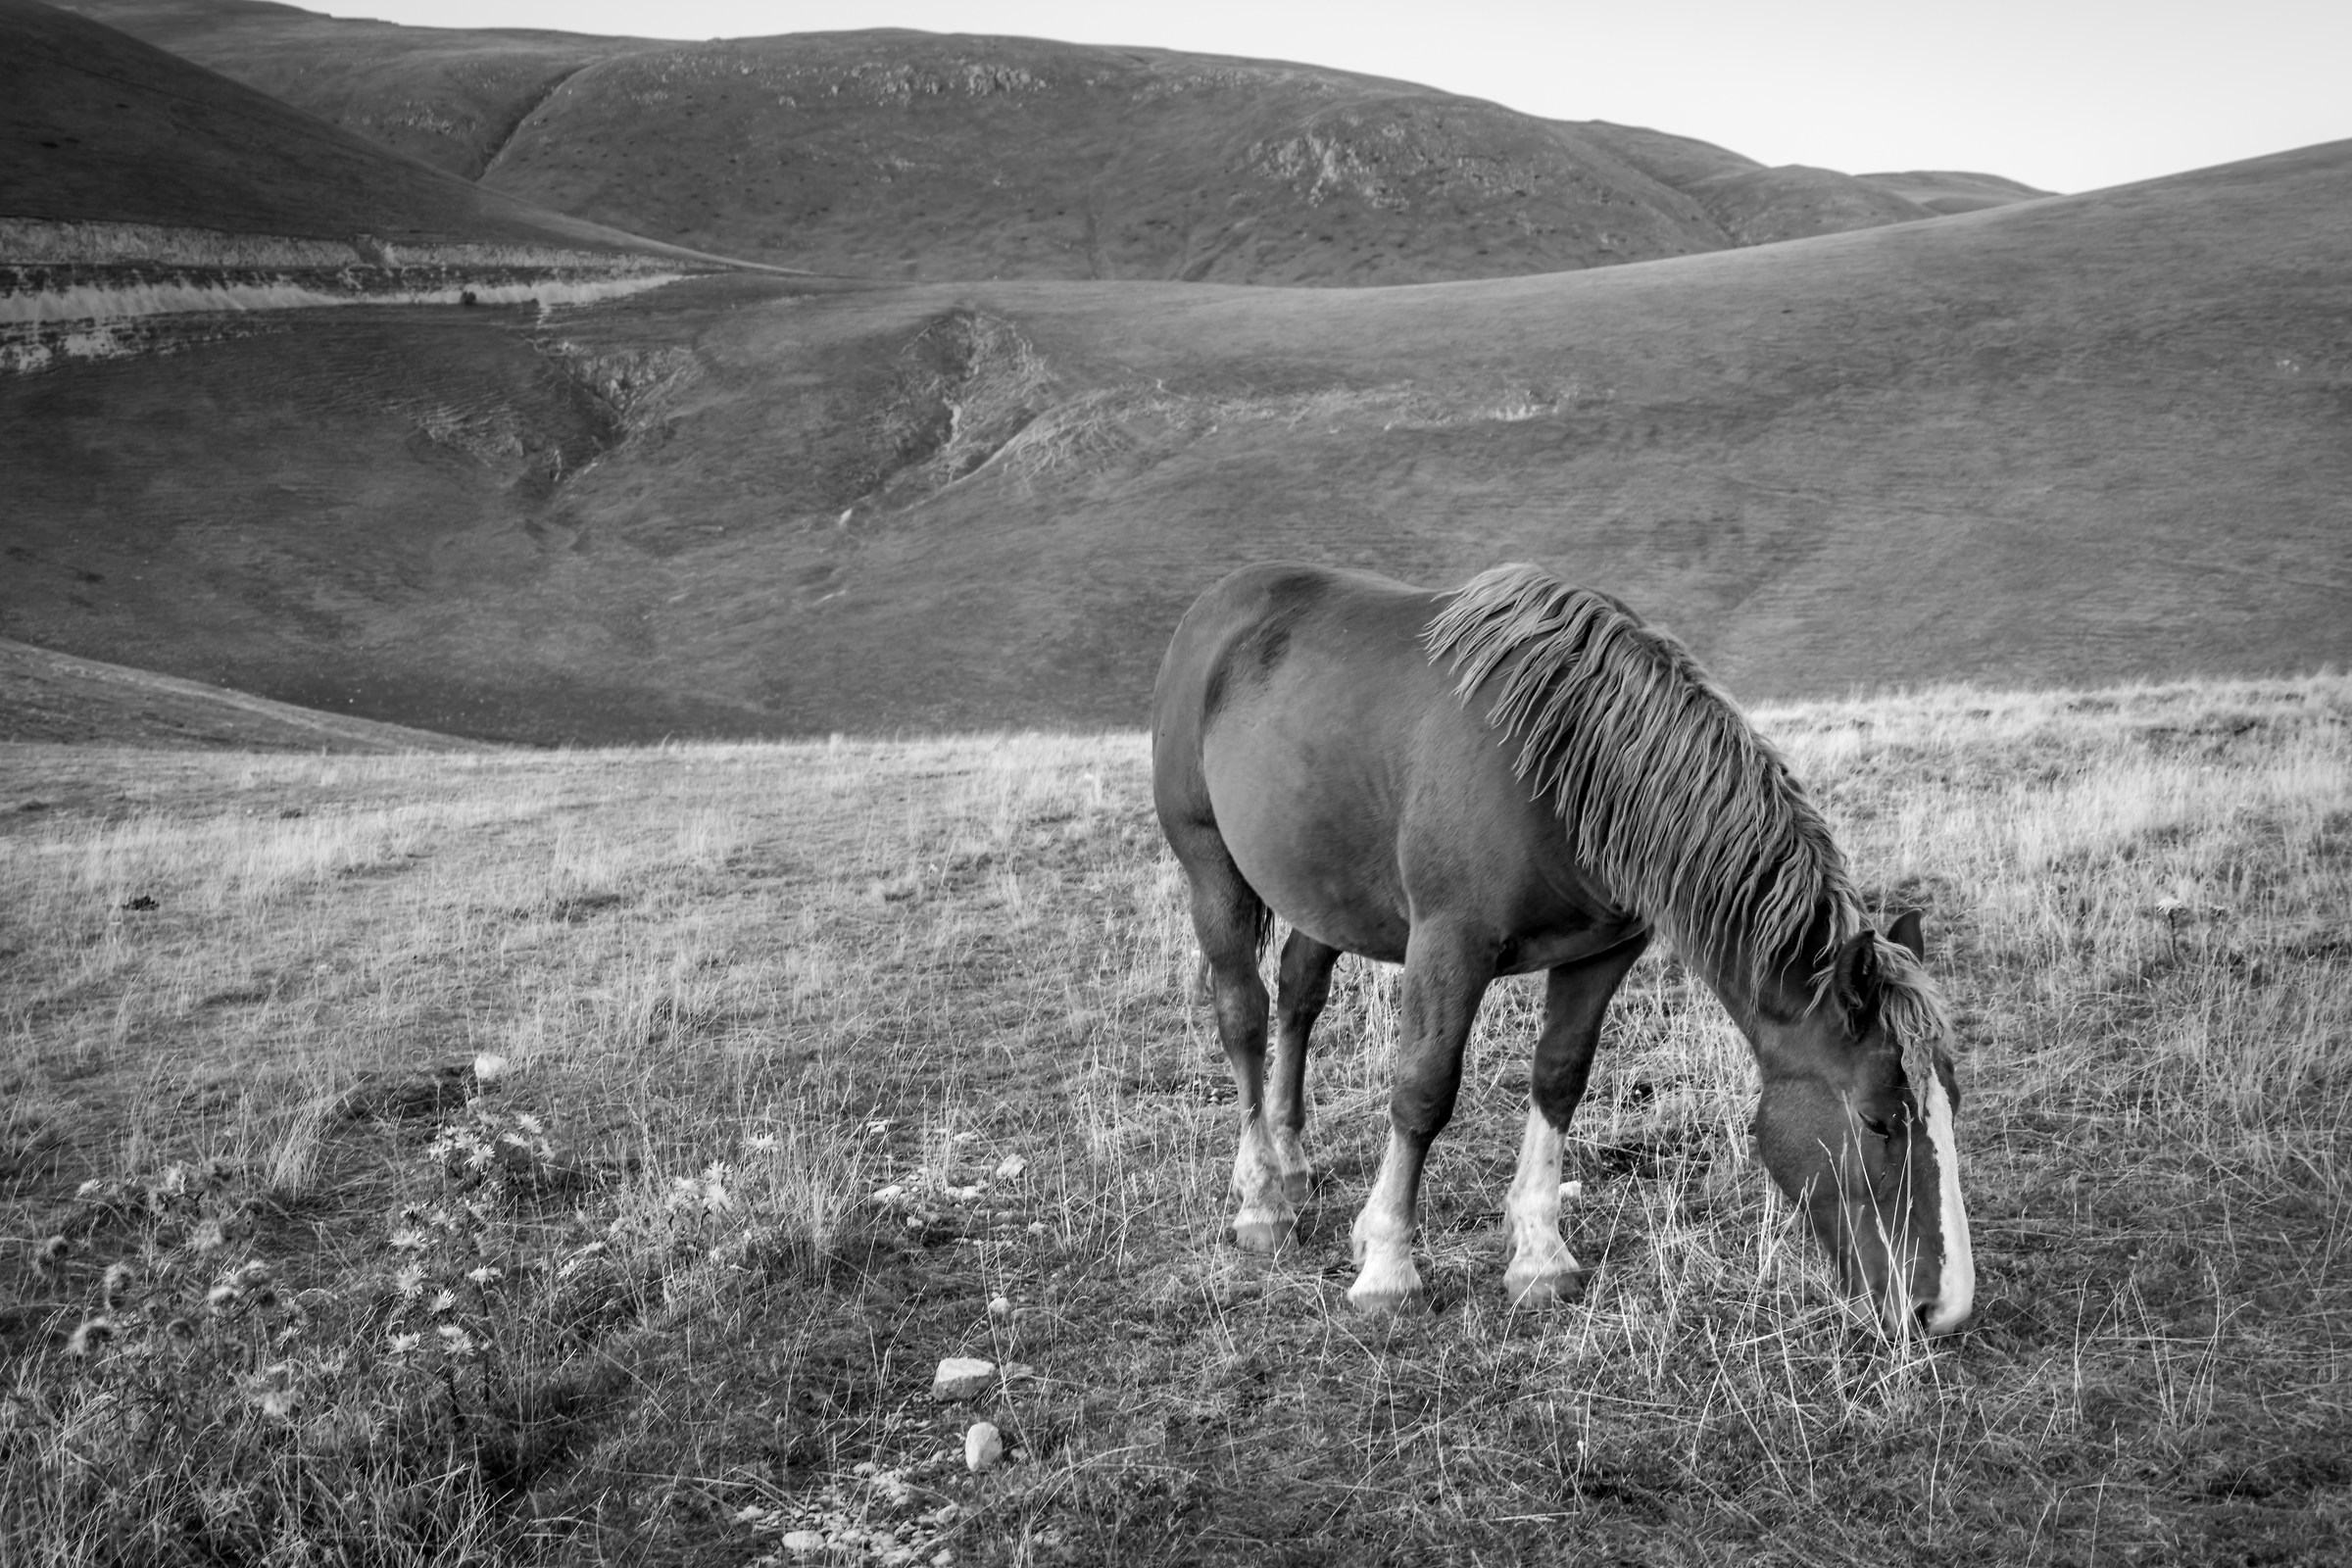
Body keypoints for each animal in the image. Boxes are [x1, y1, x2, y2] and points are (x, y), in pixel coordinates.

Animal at [1150, 561, 1974, 1334]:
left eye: (1949, 1103)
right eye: (1878, 1120)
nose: (1942, 1308)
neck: (1565, 761)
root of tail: (1221, 602)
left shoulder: (1600, 954)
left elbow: (1559, 1080)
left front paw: (1540, 1258)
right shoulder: (1450, 946)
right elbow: (1422, 1093)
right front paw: (1387, 1267)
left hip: (1323, 894)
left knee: (1299, 995)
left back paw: (1292, 1168)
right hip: (1212, 868)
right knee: (1244, 1014)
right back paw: (1262, 1201)